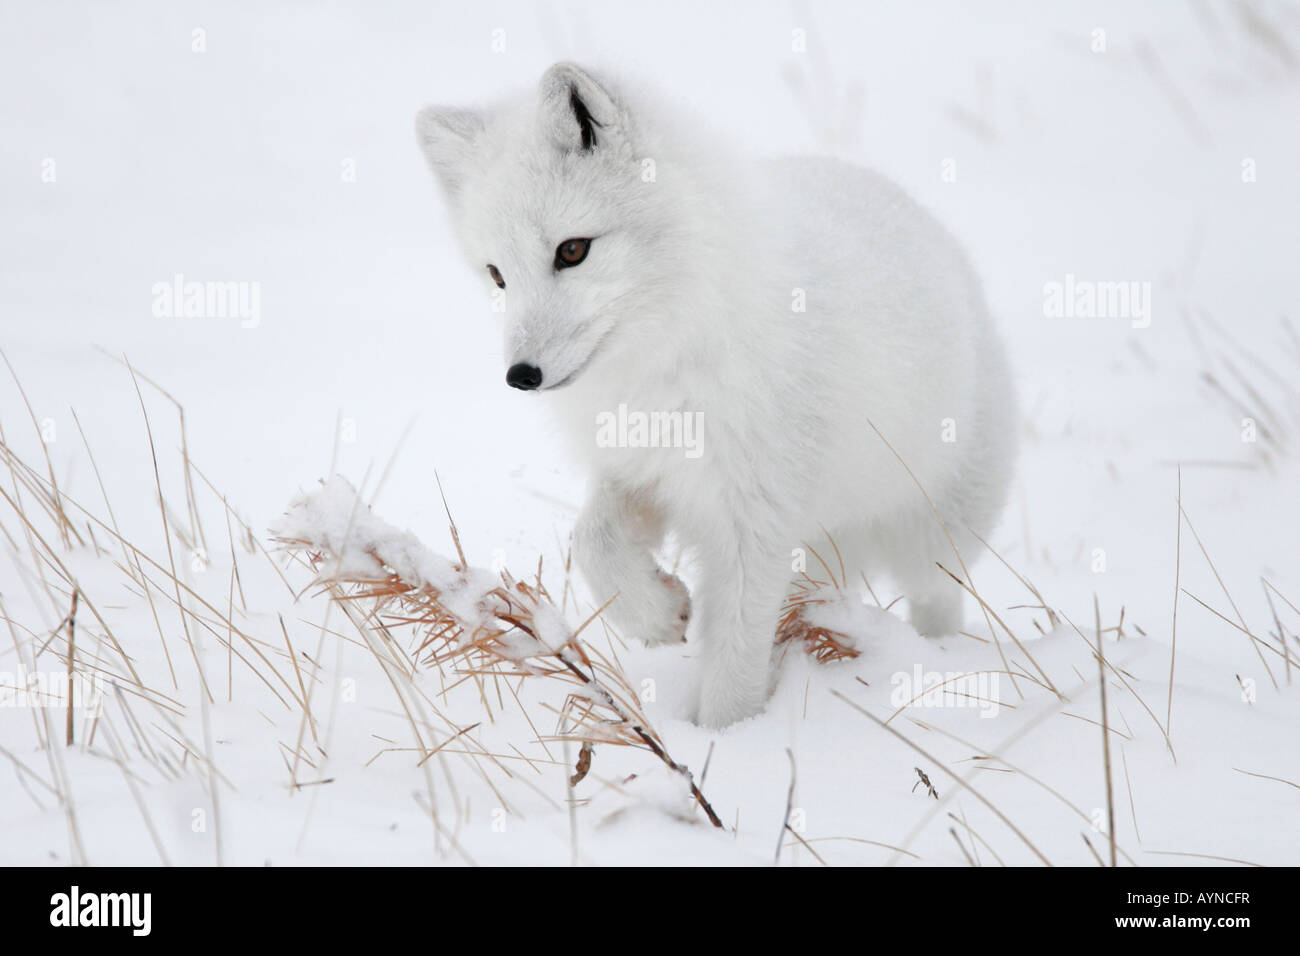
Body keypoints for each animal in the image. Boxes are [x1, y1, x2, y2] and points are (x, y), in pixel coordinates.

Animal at [413, 63, 1013, 728]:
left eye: (572, 250)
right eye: (496, 275)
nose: (522, 374)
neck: (672, 347)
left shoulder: (756, 520)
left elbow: (735, 657)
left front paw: (728, 741)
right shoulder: (642, 470)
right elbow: (592, 540)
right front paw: (658, 615)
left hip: (933, 532)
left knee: (938, 597)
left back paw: (940, 662)